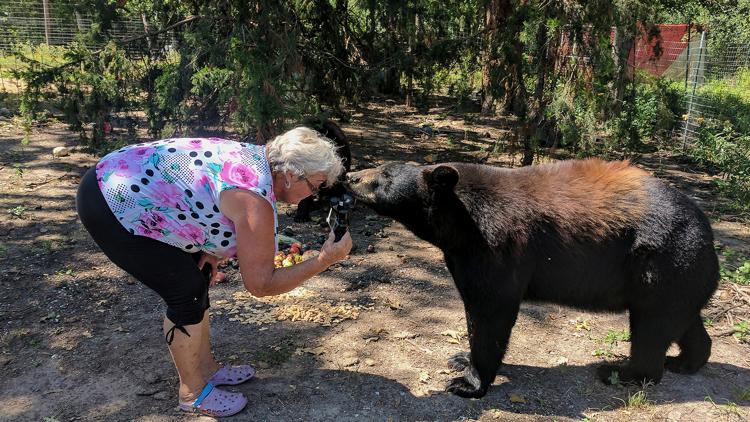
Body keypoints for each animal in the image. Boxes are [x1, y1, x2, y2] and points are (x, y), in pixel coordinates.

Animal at [346, 159, 724, 398]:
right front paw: (459, 357)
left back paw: (622, 373)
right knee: (681, 320)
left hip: (661, 263)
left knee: (651, 328)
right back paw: (685, 361)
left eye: (384, 174)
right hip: (678, 276)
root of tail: (708, 234)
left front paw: (468, 383)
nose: (350, 175)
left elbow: (491, 312)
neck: (458, 222)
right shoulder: (462, 255)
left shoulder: (495, 246)